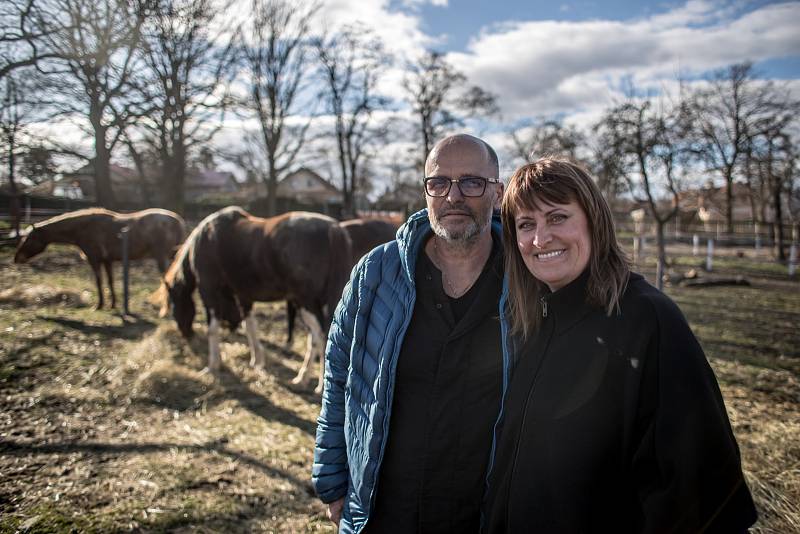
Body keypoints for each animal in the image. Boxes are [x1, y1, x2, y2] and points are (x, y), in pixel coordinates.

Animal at [13, 209, 186, 310]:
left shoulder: (94, 259)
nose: (16, 258)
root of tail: (178, 220)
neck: (83, 228)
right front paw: (113, 304)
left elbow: (99, 281)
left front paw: (100, 305)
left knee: (169, 279)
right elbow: (110, 282)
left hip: (161, 257)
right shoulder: (107, 260)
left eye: (28, 239)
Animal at [155, 205, 352, 390]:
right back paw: (302, 379)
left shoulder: (209, 290)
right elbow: (250, 326)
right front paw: (257, 361)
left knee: (321, 336)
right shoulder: (244, 296)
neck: (205, 240)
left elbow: (213, 329)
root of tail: (333, 229)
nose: (186, 334)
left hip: (307, 302)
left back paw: (319, 385)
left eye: (174, 307)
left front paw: (212, 365)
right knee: (316, 338)